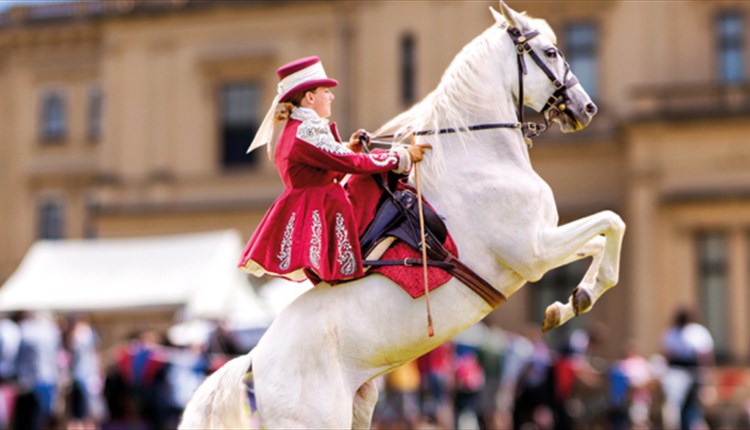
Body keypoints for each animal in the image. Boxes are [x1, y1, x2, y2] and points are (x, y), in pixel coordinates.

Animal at [179, 1, 624, 428]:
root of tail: (253, 360)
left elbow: (599, 242)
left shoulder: (545, 244)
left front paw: (569, 302)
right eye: (551, 52)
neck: (479, 157)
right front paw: (580, 297)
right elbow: (612, 223)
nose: (586, 108)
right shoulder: (535, 251)